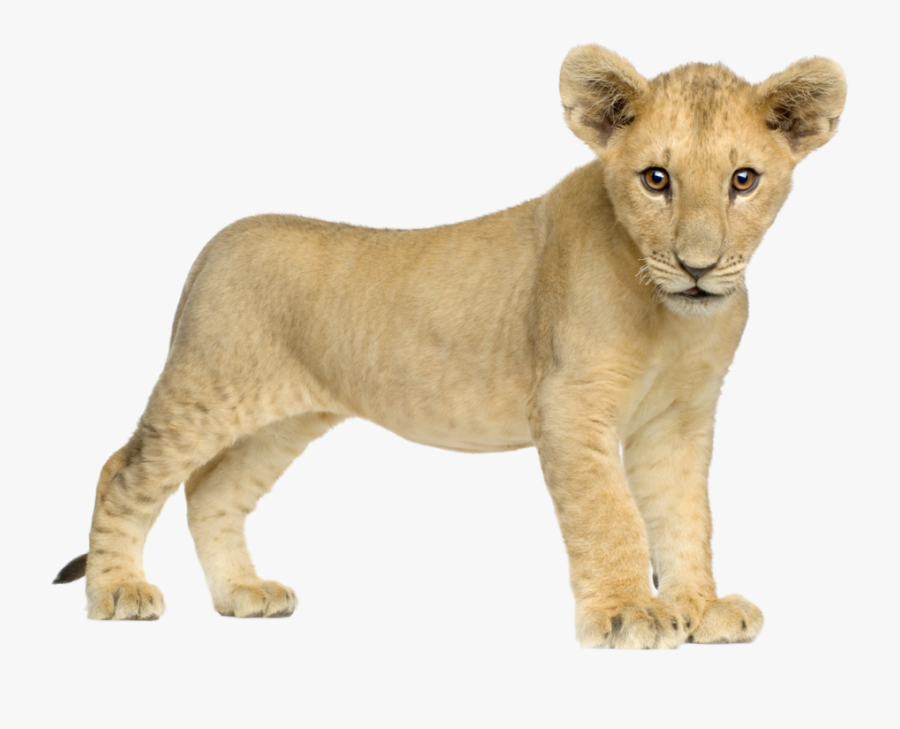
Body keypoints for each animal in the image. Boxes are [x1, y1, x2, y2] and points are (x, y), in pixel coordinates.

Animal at [53, 45, 846, 648]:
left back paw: (242, 592)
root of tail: (215, 243)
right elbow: (610, 515)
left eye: (743, 180)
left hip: (282, 421)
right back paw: (117, 592)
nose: (698, 266)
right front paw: (628, 613)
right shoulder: (569, 406)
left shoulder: (678, 421)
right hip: (207, 387)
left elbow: (685, 516)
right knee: (122, 471)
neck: (672, 316)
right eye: (657, 179)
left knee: (211, 491)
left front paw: (699, 607)